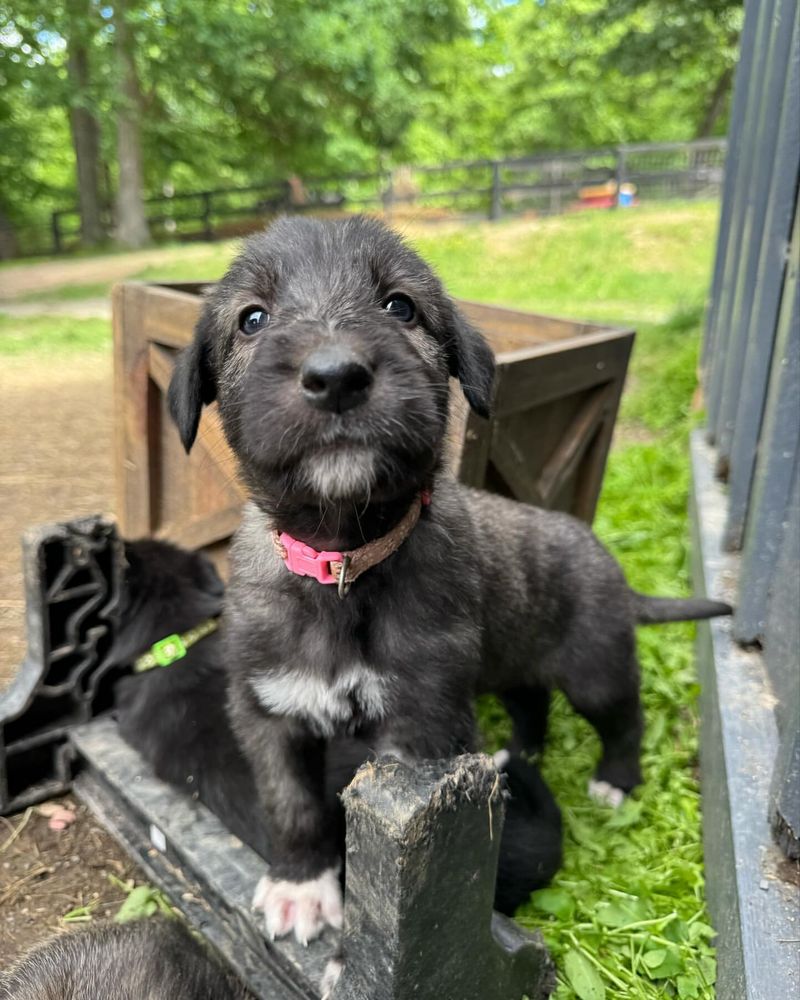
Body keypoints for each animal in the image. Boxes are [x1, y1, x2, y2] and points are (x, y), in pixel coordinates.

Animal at [169, 217, 732, 944]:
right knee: (531, 700)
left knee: (624, 718)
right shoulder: (270, 709)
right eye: (252, 318)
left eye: (401, 306)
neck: (344, 566)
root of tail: (606, 560)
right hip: (514, 660)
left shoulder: (420, 725)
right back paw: (521, 751)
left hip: (596, 668)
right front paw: (300, 885)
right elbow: (290, 804)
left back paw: (615, 779)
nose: (336, 376)